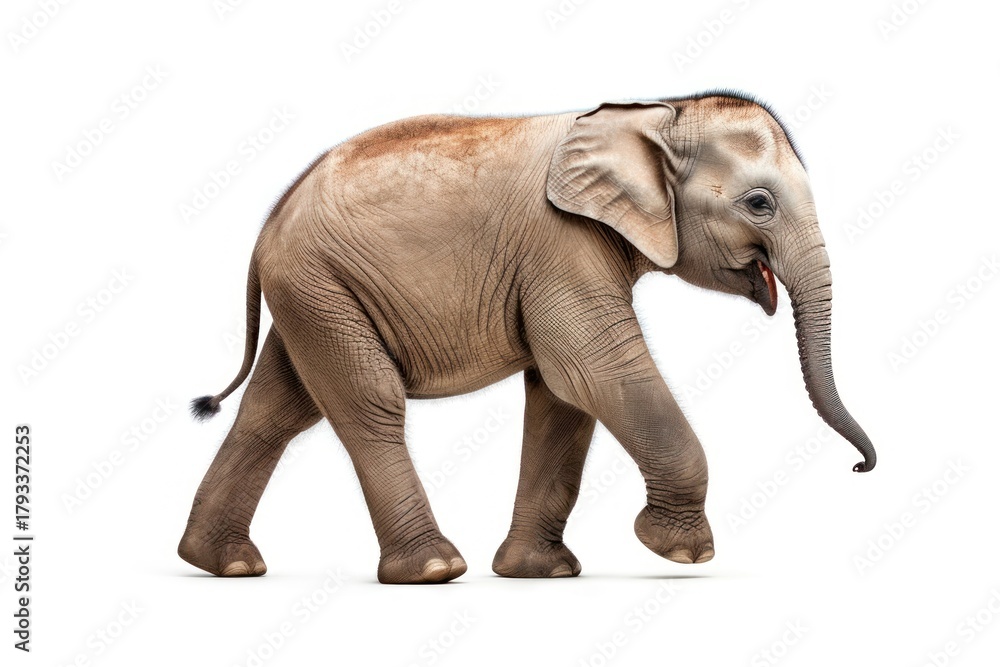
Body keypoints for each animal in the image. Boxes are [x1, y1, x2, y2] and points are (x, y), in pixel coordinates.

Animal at [178, 91, 876, 584]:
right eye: (759, 204)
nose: (859, 467)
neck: (656, 113)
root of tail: (268, 225)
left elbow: (563, 400)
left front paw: (543, 574)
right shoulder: (562, 244)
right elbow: (594, 373)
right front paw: (679, 552)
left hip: (313, 296)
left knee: (278, 410)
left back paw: (225, 564)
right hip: (320, 284)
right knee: (368, 403)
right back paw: (434, 570)